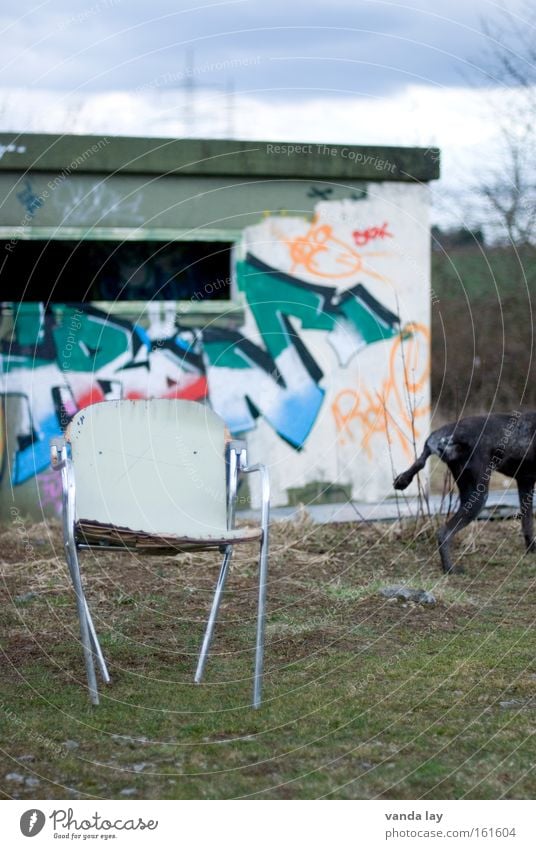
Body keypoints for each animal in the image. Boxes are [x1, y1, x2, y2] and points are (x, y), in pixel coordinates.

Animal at [394, 412, 536, 572]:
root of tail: (449, 434)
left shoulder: (525, 482)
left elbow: (527, 524)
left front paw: (531, 550)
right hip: (478, 498)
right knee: (443, 533)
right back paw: (450, 570)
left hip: (468, 495)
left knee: (419, 463)